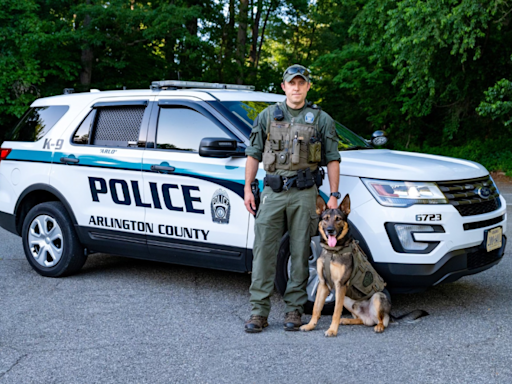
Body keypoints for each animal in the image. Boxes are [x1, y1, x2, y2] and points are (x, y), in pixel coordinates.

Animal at [300, 195, 392, 336]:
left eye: (338, 219)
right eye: (325, 219)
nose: (330, 231)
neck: (332, 251)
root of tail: (370, 316)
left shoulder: (340, 285)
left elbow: (336, 311)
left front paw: (332, 330)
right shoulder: (323, 284)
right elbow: (316, 308)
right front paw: (310, 325)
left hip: (376, 297)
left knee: (381, 320)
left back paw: (379, 326)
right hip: (347, 300)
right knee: (362, 320)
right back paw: (347, 320)